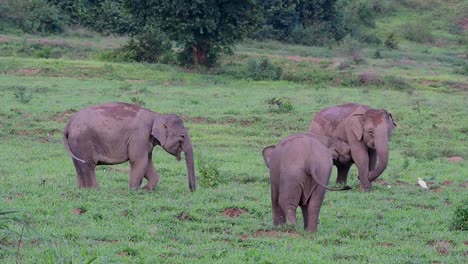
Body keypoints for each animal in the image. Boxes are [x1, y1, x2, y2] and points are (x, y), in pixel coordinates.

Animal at [64, 101, 196, 192]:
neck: (157, 115)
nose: (192, 190)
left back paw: (82, 190)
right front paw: (134, 191)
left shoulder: (146, 141)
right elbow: (139, 161)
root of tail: (69, 122)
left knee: (80, 166)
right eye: (182, 136)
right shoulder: (140, 136)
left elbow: (147, 163)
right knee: (88, 165)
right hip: (83, 141)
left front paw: (146, 190)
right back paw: (95, 190)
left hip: (76, 144)